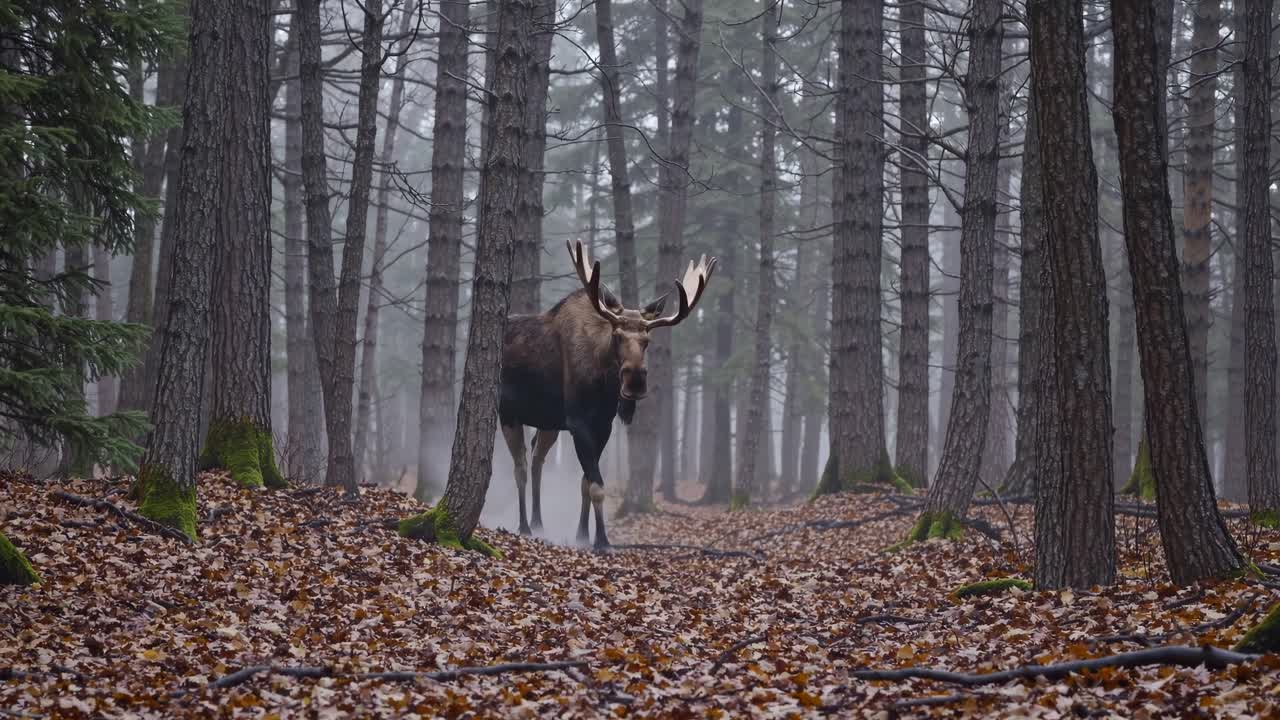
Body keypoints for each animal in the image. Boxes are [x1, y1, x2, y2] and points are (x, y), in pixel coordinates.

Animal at [498, 240, 716, 548]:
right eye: (617, 335)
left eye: (647, 340)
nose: (635, 381)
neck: (603, 386)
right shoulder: (578, 422)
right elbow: (597, 486)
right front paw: (601, 540)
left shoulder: (603, 425)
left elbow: (585, 484)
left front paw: (582, 535)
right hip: (508, 413)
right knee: (520, 466)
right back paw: (525, 526)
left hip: (548, 423)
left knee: (537, 459)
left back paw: (539, 523)